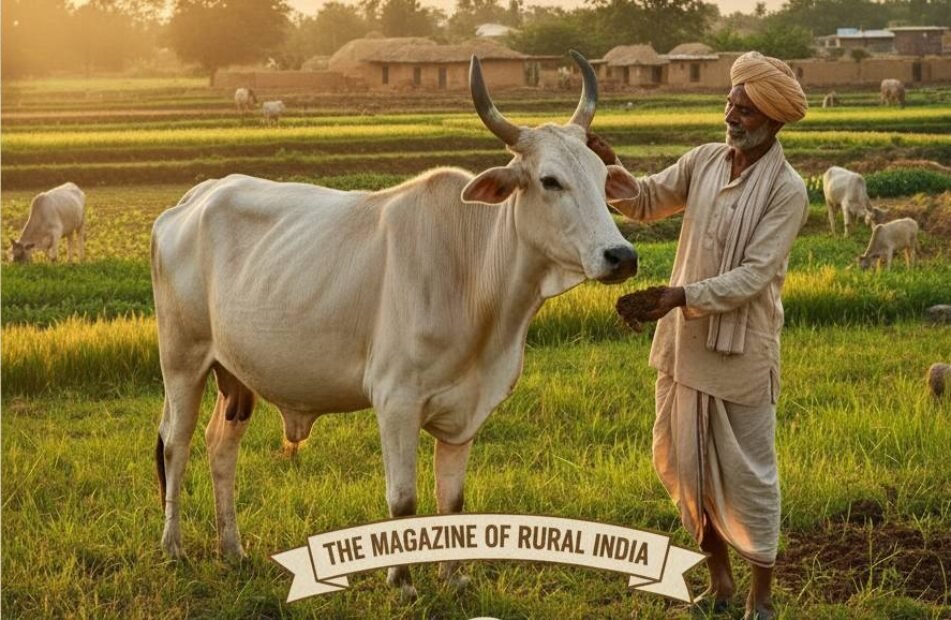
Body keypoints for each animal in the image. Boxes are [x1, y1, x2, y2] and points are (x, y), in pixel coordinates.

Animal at [151, 51, 638, 599]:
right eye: (551, 180)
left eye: (601, 177)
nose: (621, 256)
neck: (474, 273)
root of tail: (194, 198)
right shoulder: (396, 402)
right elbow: (403, 499)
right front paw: (402, 582)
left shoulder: (465, 412)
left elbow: (453, 501)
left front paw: (455, 576)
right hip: (183, 363)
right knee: (176, 444)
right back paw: (174, 547)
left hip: (235, 376)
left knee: (221, 447)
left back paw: (232, 549)